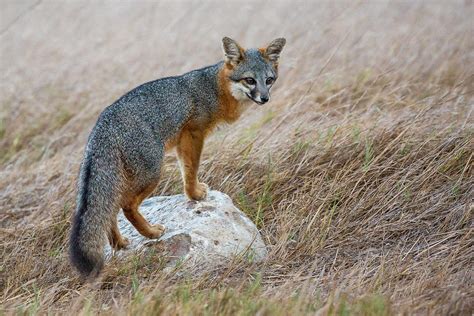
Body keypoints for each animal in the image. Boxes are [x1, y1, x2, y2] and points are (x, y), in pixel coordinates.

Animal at [69, 37, 286, 278]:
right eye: (250, 80)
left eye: (269, 80)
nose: (265, 98)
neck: (215, 88)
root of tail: (102, 125)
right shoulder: (193, 134)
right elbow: (191, 170)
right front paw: (195, 195)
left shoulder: (183, 141)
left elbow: (186, 169)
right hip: (153, 172)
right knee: (127, 206)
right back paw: (151, 233)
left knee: (111, 209)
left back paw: (119, 243)